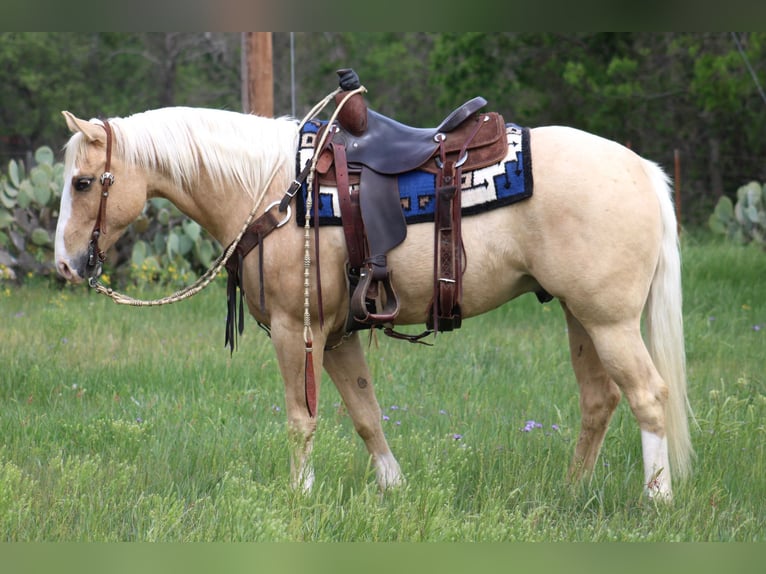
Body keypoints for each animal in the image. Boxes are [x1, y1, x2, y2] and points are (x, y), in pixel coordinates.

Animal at [51, 102, 692, 500]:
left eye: (83, 183)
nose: (64, 263)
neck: (269, 188)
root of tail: (641, 169)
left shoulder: (298, 329)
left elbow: (301, 418)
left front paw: (301, 494)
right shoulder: (338, 336)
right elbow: (365, 413)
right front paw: (393, 489)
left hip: (609, 321)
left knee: (649, 395)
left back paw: (656, 498)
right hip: (578, 315)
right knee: (599, 401)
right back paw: (572, 490)